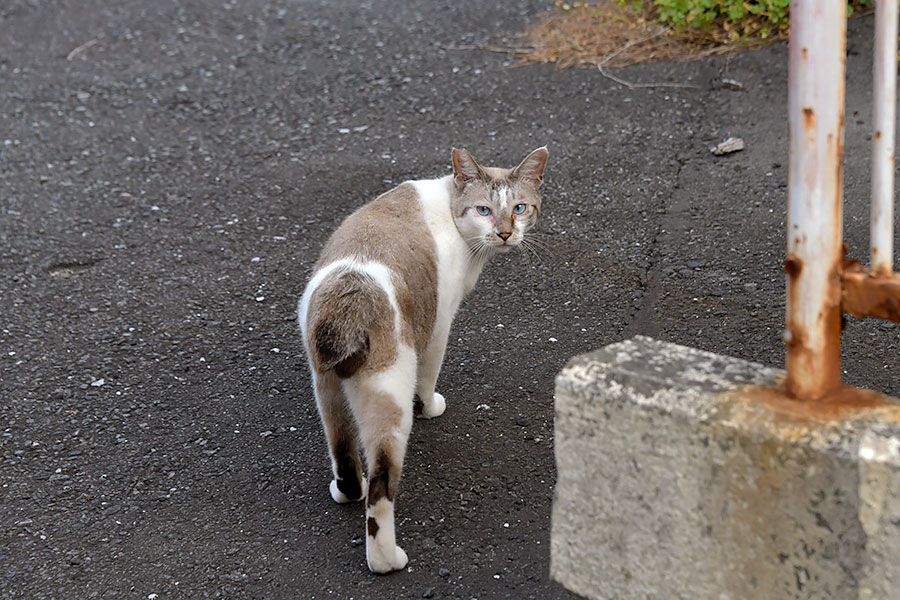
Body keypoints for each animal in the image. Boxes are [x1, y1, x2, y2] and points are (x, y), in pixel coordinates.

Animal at [298, 145, 548, 572]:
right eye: (484, 210)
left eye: (519, 208)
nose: (504, 233)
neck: (449, 201)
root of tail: (346, 305)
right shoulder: (440, 324)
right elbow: (428, 379)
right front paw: (431, 408)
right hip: (390, 401)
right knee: (380, 489)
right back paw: (387, 561)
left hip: (326, 388)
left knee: (344, 456)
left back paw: (346, 490)